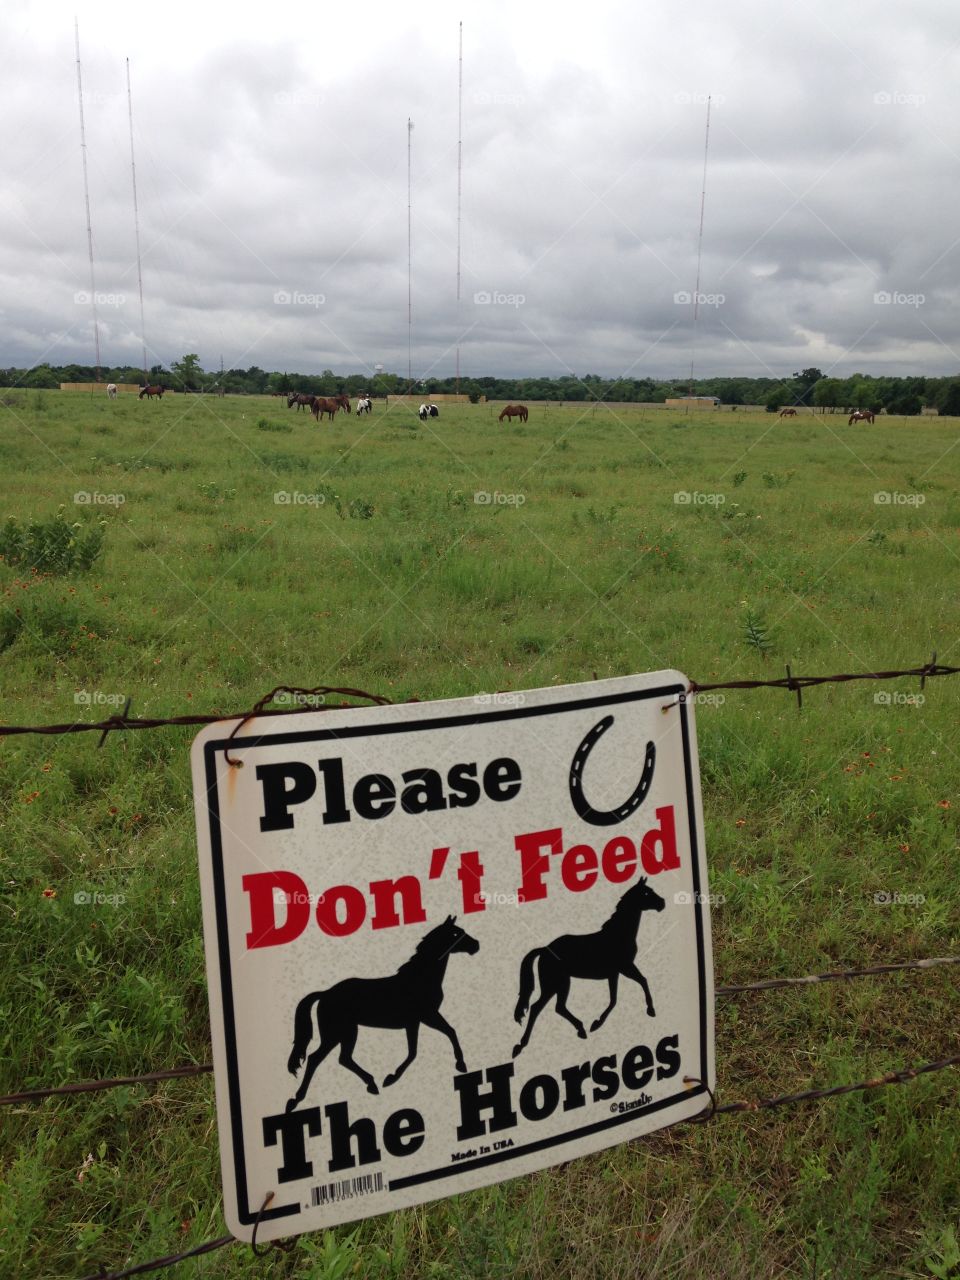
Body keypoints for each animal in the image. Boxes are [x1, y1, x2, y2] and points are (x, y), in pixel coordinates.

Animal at [285, 911, 481, 1111]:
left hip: (345, 1032)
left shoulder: (418, 1021)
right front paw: (392, 1078)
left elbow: (429, 1043)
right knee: (316, 1059)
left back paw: (371, 1084)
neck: (420, 978)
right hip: (338, 1033)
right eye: (456, 933)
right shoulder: (426, 1017)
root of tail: (325, 993)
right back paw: (296, 1099)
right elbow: (432, 1042)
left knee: (343, 1058)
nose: (476, 945)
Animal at [514, 880, 665, 1059]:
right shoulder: (626, 967)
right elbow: (642, 981)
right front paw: (651, 1010)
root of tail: (545, 949)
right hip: (555, 984)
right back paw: (521, 1045)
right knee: (539, 1008)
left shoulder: (615, 973)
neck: (618, 934)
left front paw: (596, 1023)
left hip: (560, 984)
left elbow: (614, 999)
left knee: (558, 1007)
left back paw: (581, 1030)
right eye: (647, 893)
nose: (662, 903)